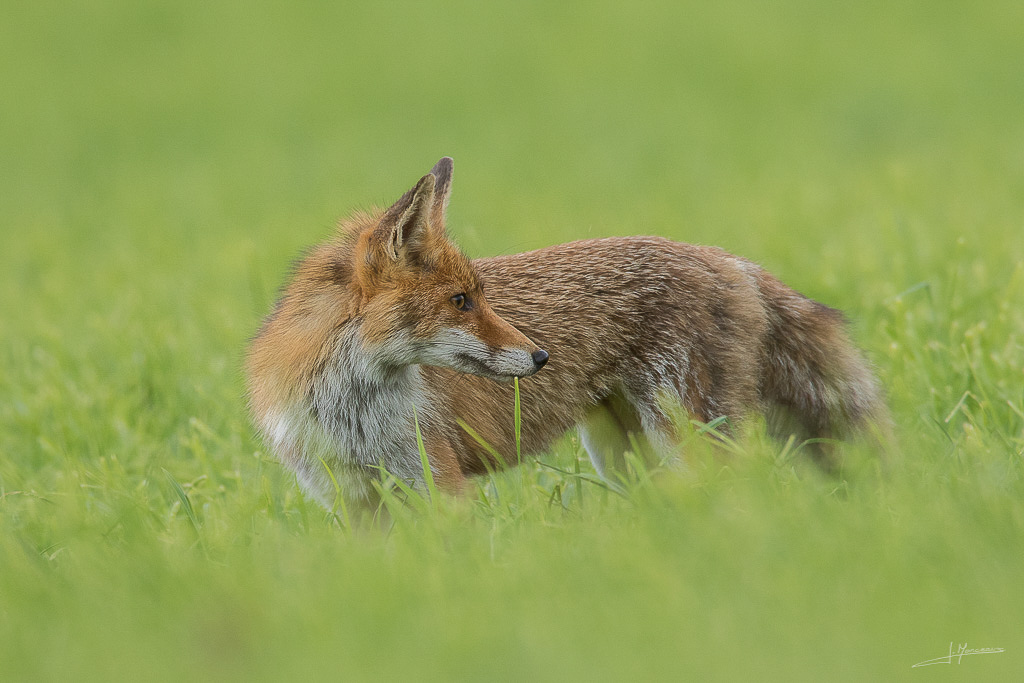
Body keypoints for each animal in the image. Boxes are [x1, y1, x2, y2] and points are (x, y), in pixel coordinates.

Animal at [243, 157, 884, 505]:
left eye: (480, 297)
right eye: (460, 302)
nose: (541, 357)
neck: (348, 410)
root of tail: (724, 257)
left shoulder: (438, 487)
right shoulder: (353, 504)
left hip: (690, 436)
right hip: (627, 459)